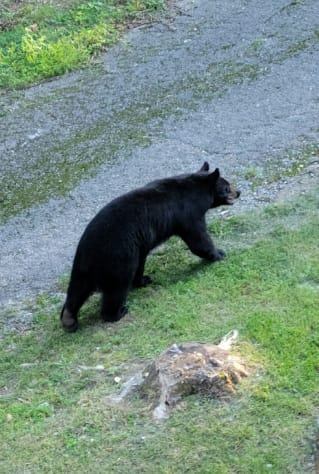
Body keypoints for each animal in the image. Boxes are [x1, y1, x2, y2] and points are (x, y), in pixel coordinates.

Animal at [60, 161, 240, 332]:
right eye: (227, 187)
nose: (239, 192)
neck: (196, 190)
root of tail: (88, 252)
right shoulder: (188, 213)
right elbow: (198, 239)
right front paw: (219, 253)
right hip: (119, 257)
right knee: (118, 287)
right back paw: (118, 312)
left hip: (86, 266)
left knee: (78, 289)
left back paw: (69, 318)